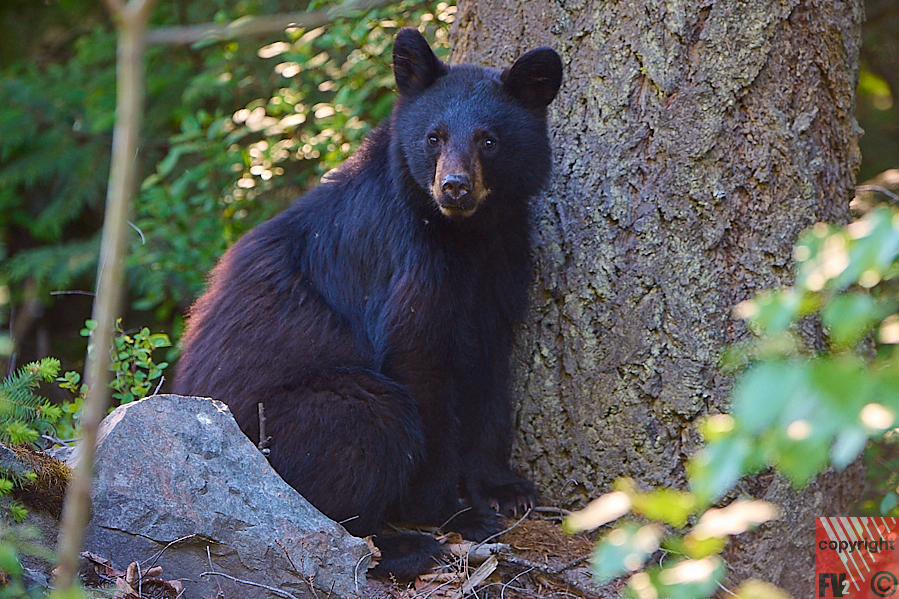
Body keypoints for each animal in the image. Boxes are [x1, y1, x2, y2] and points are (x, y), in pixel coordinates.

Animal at [173, 28, 562, 579]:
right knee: (361, 437)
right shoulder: (403, 262)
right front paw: (454, 511)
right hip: (283, 430)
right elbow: (420, 367)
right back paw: (405, 547)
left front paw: (504, 488)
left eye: (489, 140)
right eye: (434, 137)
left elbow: (489, 373)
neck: (463, 236)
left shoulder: (500, 267)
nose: (455, 187)